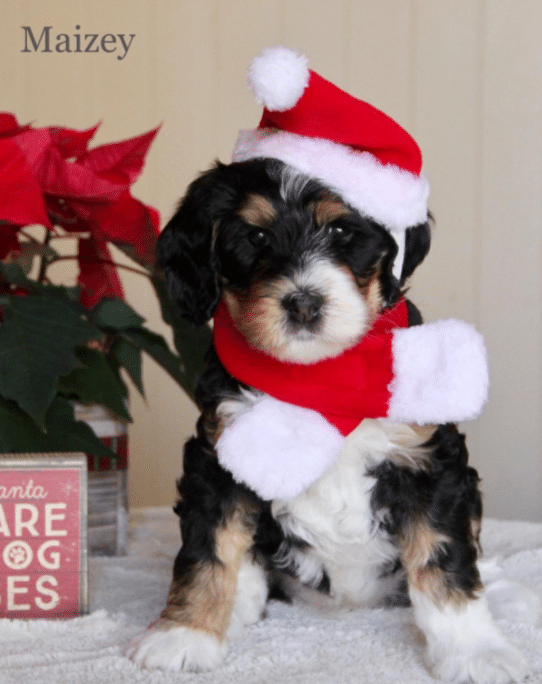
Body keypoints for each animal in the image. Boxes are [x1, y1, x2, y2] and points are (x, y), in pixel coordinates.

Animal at [126, 158, 528, 680]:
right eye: (256, 237)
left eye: (341, 230)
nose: (303, 303)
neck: (320, 375)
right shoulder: (218, 456)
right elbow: (208, 549)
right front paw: (185, 634)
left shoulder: (428, 460)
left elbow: (445, 558)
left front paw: (476, 650)